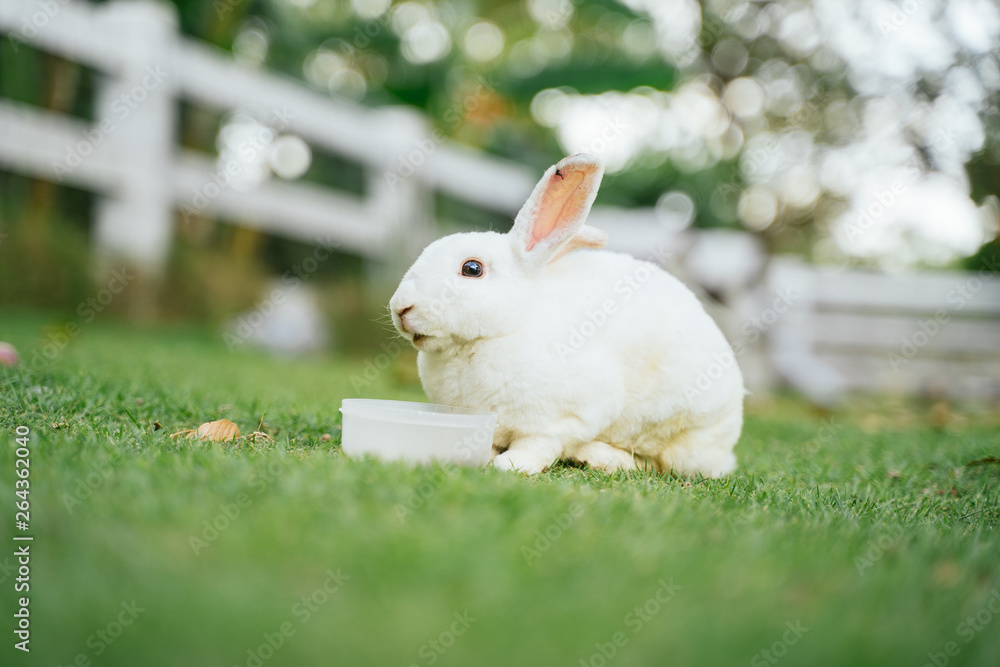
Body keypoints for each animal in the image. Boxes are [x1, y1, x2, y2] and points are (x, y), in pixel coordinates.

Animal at [390, 153, 744, 474]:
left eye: (472, 269)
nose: (400, 307)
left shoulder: (564, 420)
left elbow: (540, 444)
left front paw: (512, 465)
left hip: (682, 440)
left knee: (656, 465)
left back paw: (600, 457)